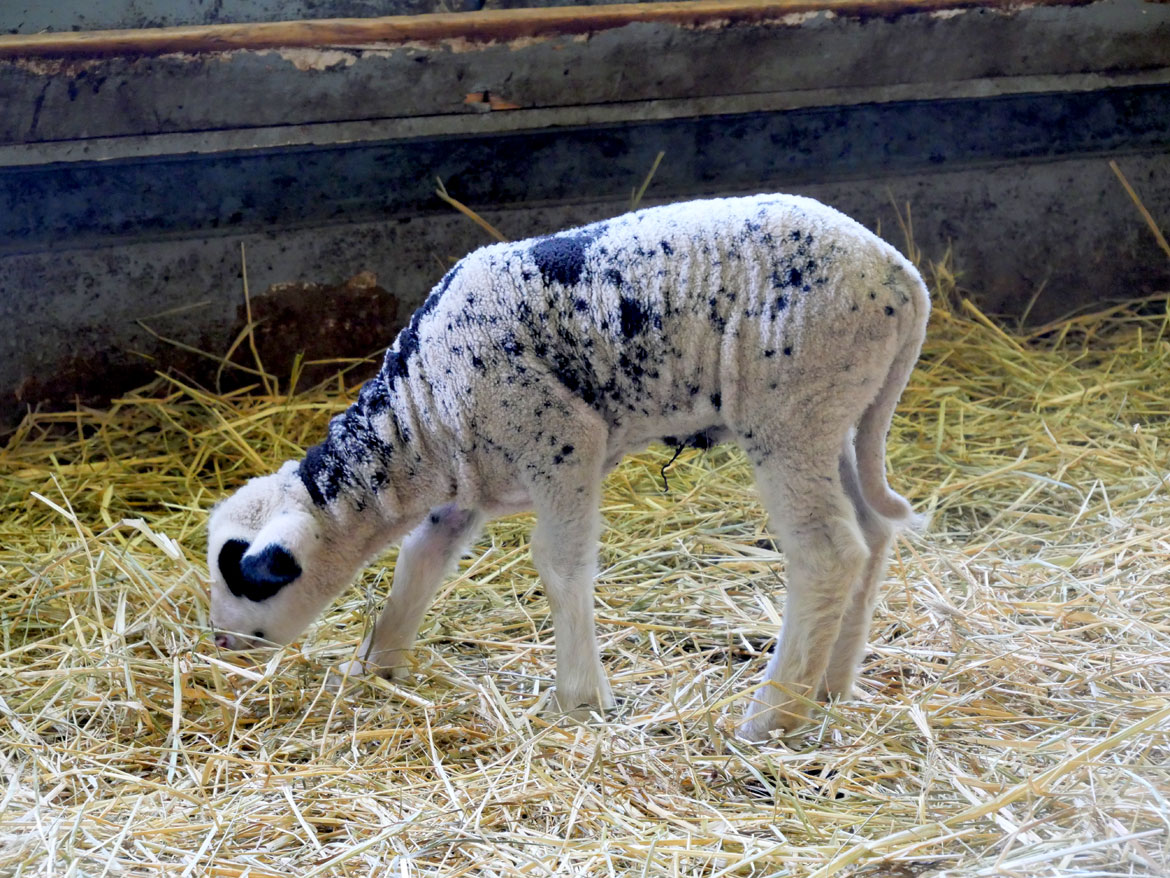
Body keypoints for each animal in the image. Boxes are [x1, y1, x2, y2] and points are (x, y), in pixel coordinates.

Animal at [207, 193, 929, 740]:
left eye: (250, 579)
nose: (221, 645)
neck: (419, 416)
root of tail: (900, 274)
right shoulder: (467, 481)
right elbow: (423, 558)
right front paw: (376, 666)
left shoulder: (561, 441)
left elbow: (560, 565)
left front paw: (579, 698)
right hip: (841, 413)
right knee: (873, 532)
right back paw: (830, 686)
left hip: (792, 411)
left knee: (829, 553)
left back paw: (771, 717)